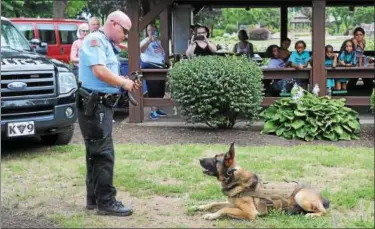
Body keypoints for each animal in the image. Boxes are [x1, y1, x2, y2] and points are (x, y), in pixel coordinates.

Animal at [194, 143, 332, 220]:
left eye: (215, 160)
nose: (199, 159)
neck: (233, 176)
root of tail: (321, 196)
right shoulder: (230, 203)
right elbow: (213, 203)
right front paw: (198, 207)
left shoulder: (250, 212)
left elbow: (224, 210)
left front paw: (211, 215)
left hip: (300, 196)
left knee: (324, 212)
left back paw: (311, 215)